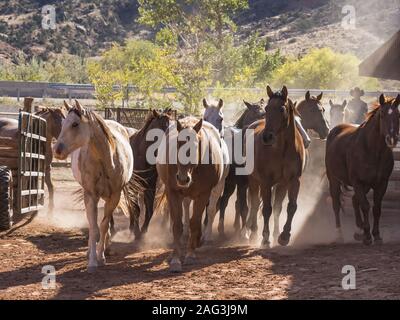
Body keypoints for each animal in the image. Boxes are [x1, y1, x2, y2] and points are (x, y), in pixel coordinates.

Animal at [54, 100, 139, 272]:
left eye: (75, 124)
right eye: (63, 124)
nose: (57, 150)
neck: (104, 161)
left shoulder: (114, 196)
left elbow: (104, 225)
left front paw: (101, 257)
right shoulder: (91, 195)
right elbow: (94, 227)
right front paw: (92, 260)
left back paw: (106, 247)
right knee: (91, 221)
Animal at [157, 116, 227, 272]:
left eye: (196, 146)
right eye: (178, 144)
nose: (183, 179)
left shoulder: (203, 194)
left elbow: (195, 222)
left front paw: (190, 255)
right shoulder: (173, 192)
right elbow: (177, 224)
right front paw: (175, 260)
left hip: (216, 188)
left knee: (208, 211)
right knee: (186, 208)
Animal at [245, 85, 304, 248]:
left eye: (282, 109)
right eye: (267, 108)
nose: (267, 137)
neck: (283, 149)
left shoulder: (293, 181)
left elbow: (291, 207)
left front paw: (284, 236)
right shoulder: (265, 182)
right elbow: (266, 209)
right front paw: (265, 239)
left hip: (281, 185)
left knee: (277, 208)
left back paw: (276, 233)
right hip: (254, 181)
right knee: (254, 204)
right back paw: (254, 233)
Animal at [324, 94, 400, 244]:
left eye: (398, 115)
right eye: (382, 115)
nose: (392, 139)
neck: (372, 150)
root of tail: (335, 130)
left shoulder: (381, 183)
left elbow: (376, 208)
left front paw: (376, 235)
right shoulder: (358, 182)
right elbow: (365, 206)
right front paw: (368, 236)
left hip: (365, 185)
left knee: (354, 200)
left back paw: (358, 230)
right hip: (334, 179)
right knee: (336, 204)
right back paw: (339, 234)